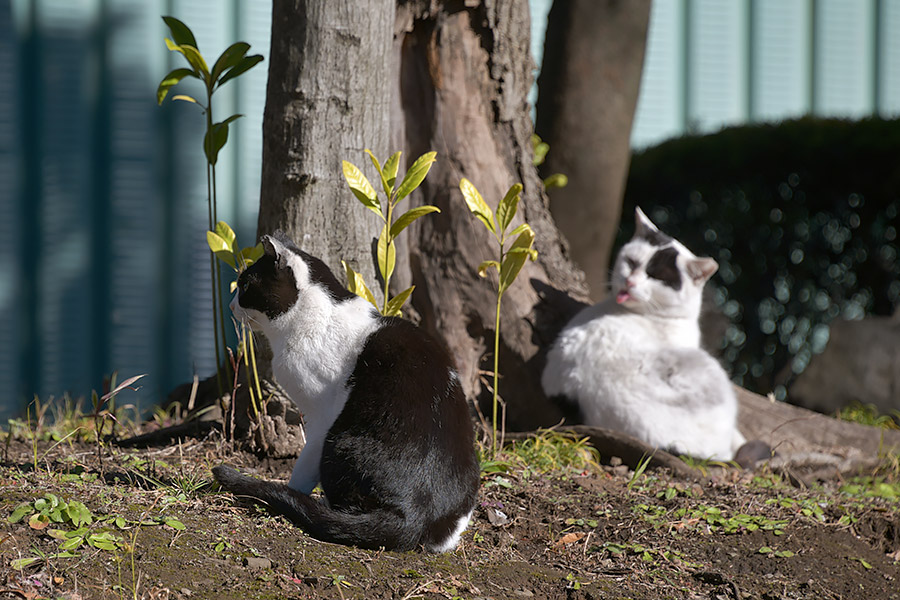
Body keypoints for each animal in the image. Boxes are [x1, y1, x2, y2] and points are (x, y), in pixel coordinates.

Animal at [213, 231, 478, 552]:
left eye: (244, 285)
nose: (230, 306)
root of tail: (414, 514)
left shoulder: (320, 417)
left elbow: (303, 466)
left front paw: (293, 493)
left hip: (340, 440)